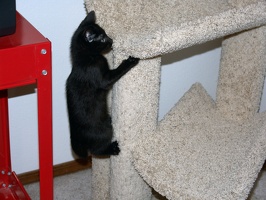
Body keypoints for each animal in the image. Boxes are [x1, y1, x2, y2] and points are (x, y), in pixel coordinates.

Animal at [66, 11, 139, 158]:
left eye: (106, 34)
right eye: (103, 39)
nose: (111, 40)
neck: (85, 58)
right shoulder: (102, 78)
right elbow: (117, 72)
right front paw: (130, 61)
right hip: (105, 131)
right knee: (97, 150)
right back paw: (113, 149)